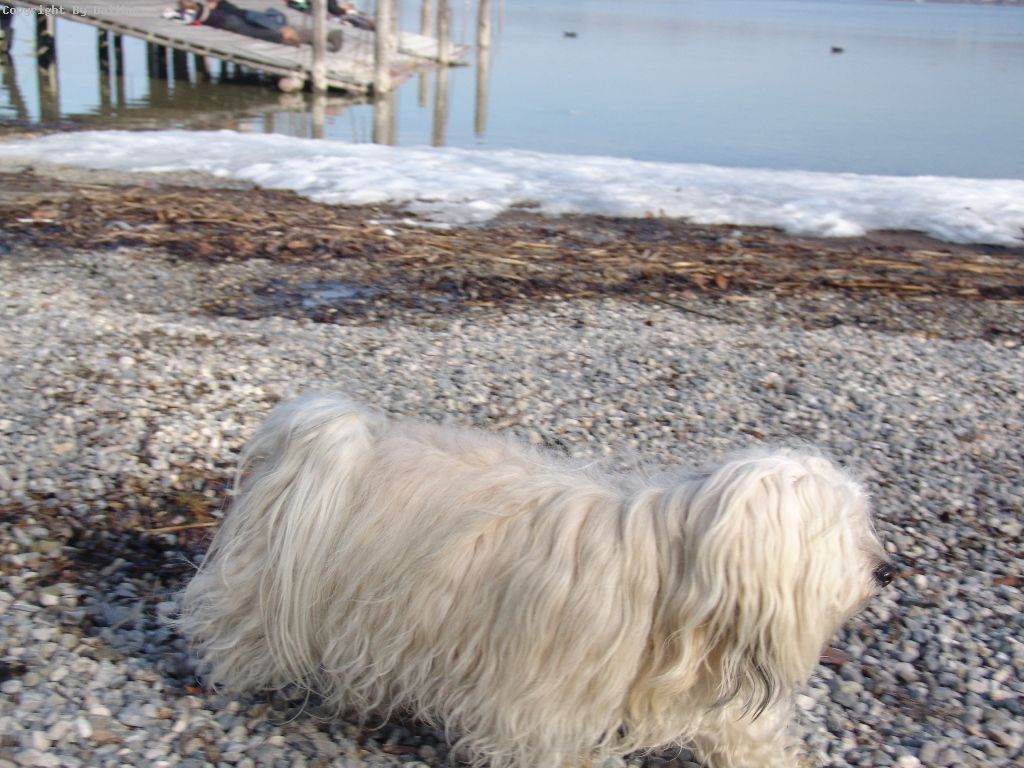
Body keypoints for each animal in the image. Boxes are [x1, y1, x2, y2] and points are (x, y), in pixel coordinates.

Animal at [179, 393, 890, 768]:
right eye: (849, 532)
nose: (883, 569)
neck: (678, 578)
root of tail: (338, 438)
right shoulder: (542, 703)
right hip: (280, 588)